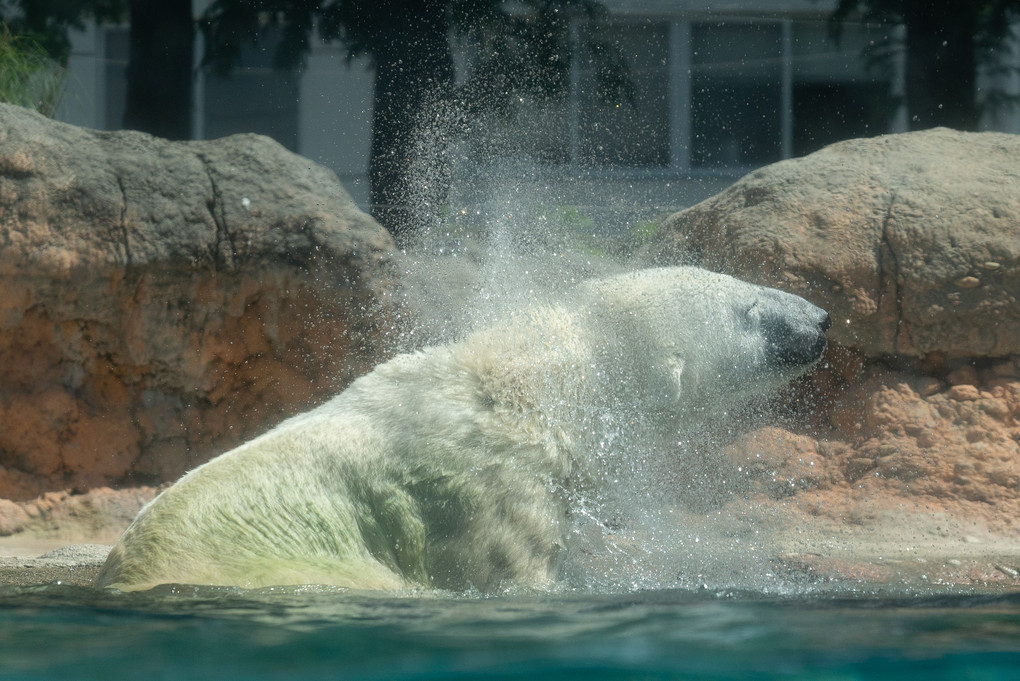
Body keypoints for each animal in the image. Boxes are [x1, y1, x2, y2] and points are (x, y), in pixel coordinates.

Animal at [95, 265, 828, 591]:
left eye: (741, 281)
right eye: (748, 309)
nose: (821, 319)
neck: (534, 394)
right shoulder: (489, 493)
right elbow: (514, 568)